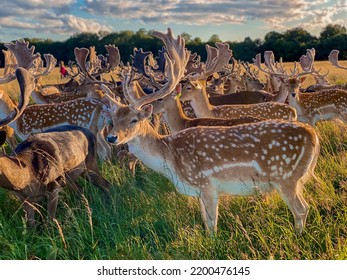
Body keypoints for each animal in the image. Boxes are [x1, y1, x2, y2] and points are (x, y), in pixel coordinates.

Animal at [0, 66, 111, 226]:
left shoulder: (54, 187)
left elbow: (50, 222)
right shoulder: (26, 201)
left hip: (90, 158)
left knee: (105, 179)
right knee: (81, 189)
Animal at [100, 27, 320, 234]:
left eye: (134, 120)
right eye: (113, 119)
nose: (112, 137)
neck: (170, 158)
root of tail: (314, 136)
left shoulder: (207, 184)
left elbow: (213, 224)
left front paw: (213, 242)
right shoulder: (199, 191)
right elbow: (206, 222)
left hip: (286, 177)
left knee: (302, 208)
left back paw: (298, 235)